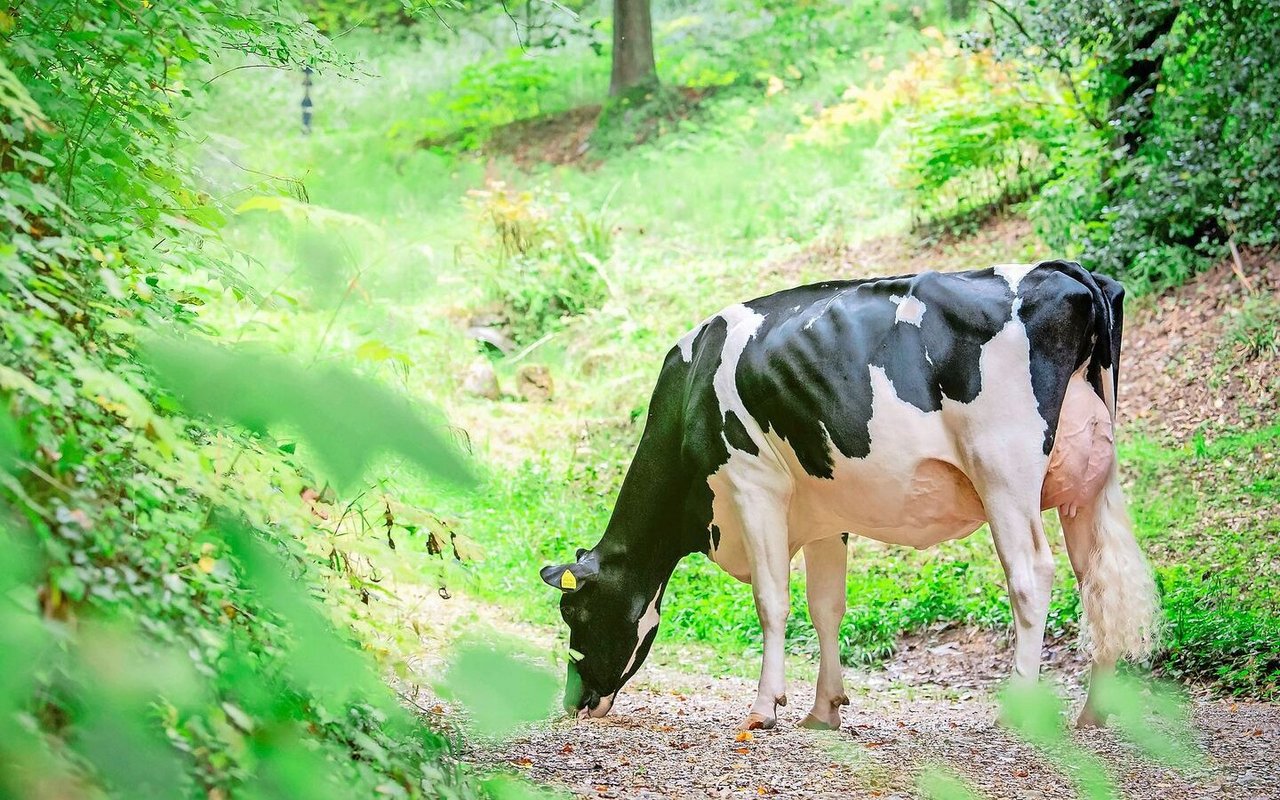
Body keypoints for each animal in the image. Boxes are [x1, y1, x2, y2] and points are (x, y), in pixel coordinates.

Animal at [537, 261, 1162, 732]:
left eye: (575, 611)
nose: (572, 703)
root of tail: (1063, 269)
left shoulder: (752, 484)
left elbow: (773, 601)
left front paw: (764, 709)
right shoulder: (823, 513)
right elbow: (826, 606)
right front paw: (824, 710)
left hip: (1004, 470)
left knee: (1031, 575)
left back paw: (1019, 712)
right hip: (1089, 481)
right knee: (1099, 581)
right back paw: (1093, 713)